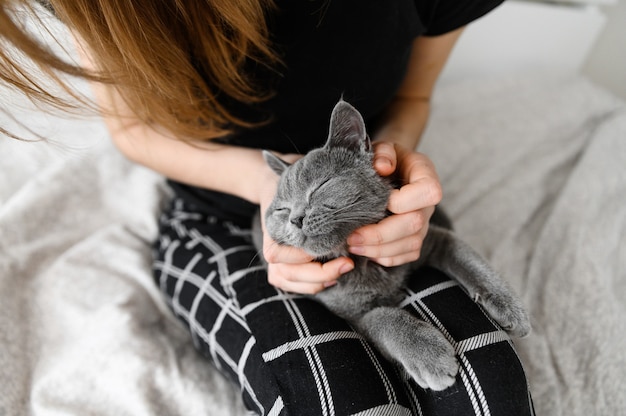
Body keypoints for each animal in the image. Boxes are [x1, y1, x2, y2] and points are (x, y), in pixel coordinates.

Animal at [252, 99, 528, 392]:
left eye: (321, 186)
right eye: (281, 209)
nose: (295, 218)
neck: (364, 263)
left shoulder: (428, 238)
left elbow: (469, 259)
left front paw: (509, 306)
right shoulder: (351, 314)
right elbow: (384, 317)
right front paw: (430, 355)